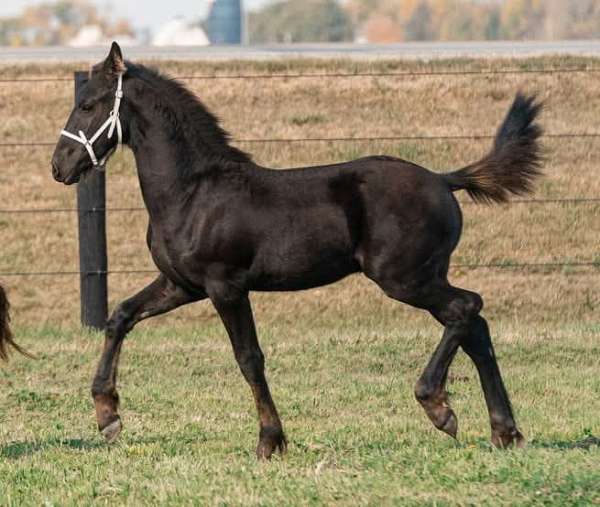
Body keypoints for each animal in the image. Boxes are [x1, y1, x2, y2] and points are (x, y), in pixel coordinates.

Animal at [51, 42, 544, 456]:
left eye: (87, 105)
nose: (59, 166)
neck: (193, 193)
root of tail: (444, 180)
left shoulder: (225, 286)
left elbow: (249, 358)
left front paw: (271, 441)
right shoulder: (181, 285)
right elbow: (120, 316)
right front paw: (108, 416)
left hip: (406, 278)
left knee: (467, 307)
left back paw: (439, 406)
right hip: (424, 277)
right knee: (475, 328)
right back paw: (505, 432)